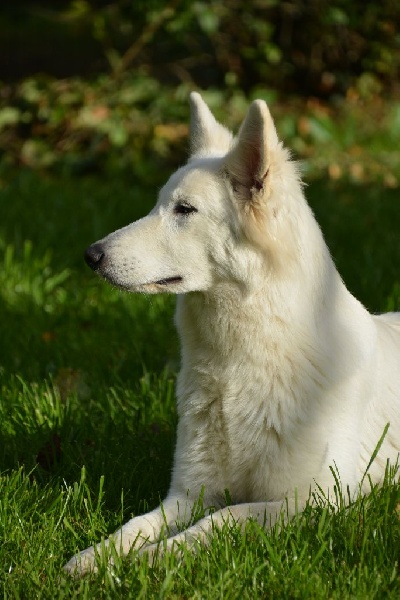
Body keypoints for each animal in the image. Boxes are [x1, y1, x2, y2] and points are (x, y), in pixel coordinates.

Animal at [64, 91, 398, 576]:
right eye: (157, 205)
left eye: (184, 210)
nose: (91, 255)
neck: (238, 364)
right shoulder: (187, 493)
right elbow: (136, 525)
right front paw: (97, 559)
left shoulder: (310, 502)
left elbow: (222, 519)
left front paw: (149, 562)